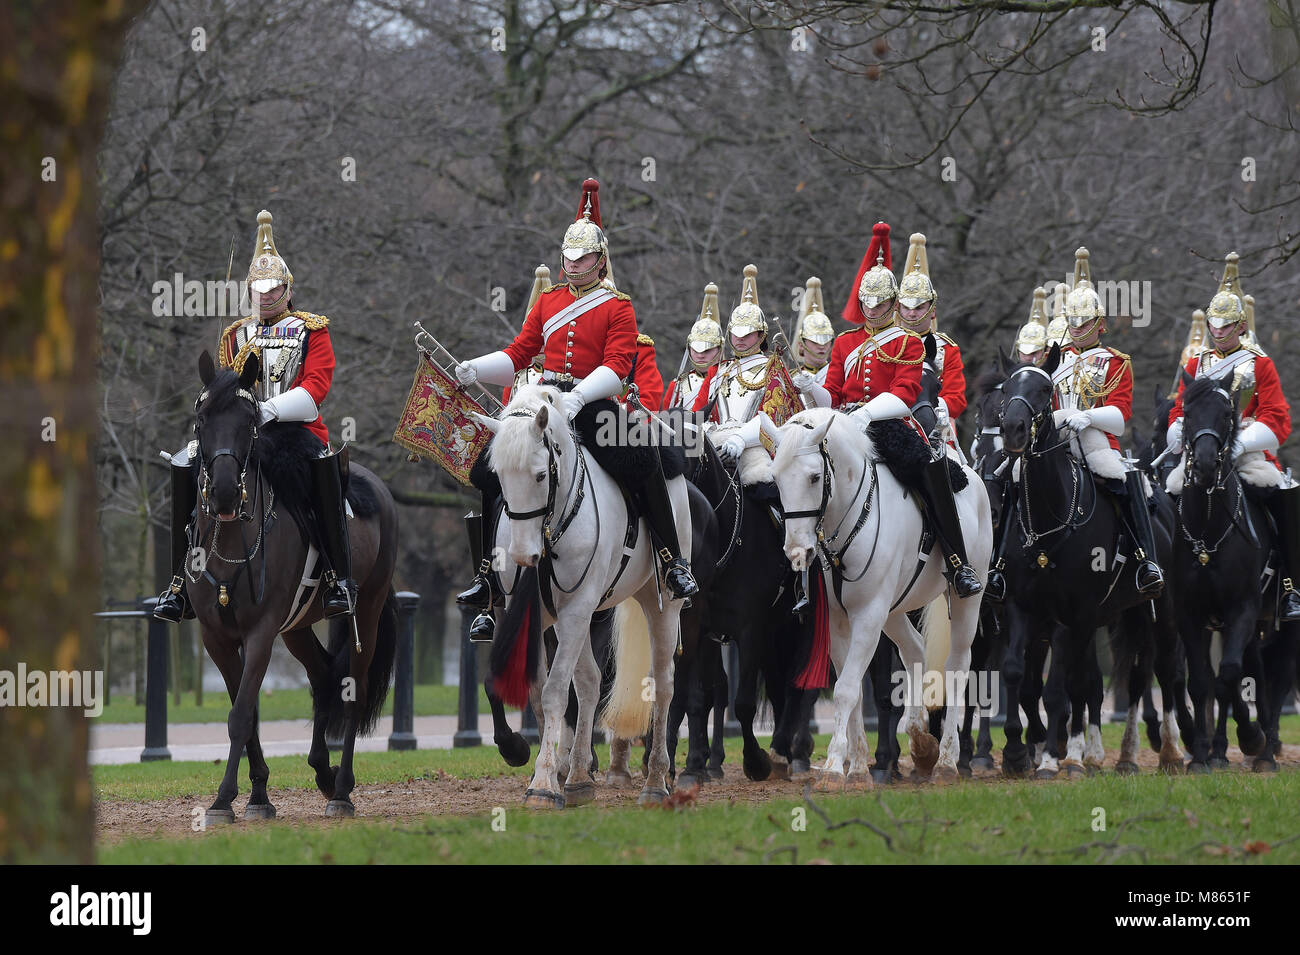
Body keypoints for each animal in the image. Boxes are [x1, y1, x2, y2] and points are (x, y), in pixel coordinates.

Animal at [475, 384, 696, 810]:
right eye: (498, 477)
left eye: (540, 474)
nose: (523, 556)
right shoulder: (532, 614)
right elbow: (537, 690)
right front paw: (546, 769)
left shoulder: (577, 609)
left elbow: (554, 692)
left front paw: (544, 784)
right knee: (591, 682)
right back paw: (577, 776)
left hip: (660, 605)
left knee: (663, 684)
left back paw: (656, 781)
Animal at [764, 407, 987, 789]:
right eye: (777, 478)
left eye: (813, 478)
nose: (797, 552)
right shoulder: (840, 621)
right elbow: (850, 688)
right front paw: (855, 768)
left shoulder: (868, 615)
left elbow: (846, 689)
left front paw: (834, 767)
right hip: (894, 611)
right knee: (914, 649)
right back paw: (920, 740)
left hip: (965, 600)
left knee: (958, 664)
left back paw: (945, 761)